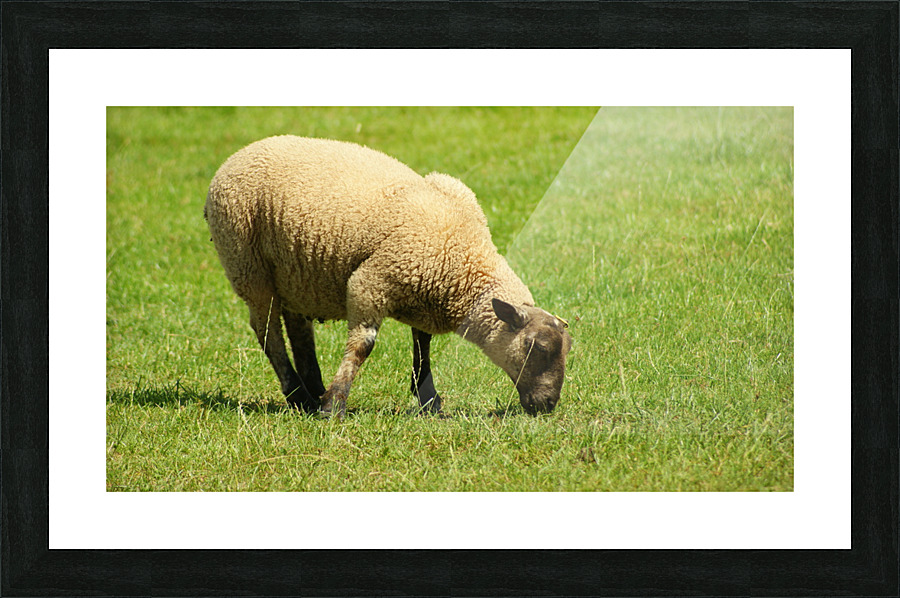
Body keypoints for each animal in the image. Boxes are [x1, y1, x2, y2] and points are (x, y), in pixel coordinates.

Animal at [204, 135, 572, 417]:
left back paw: (313, 390)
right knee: (267, 331)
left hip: (295, 273)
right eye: (537, 347)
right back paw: (299, 395)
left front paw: (428, 399)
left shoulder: (422, 289)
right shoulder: (371, 283)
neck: (465, 261)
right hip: (248, 264)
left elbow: (423, 344)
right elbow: (363, 345)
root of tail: (234, 158)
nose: (548, 405)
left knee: (297, 328)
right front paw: (335, 406)